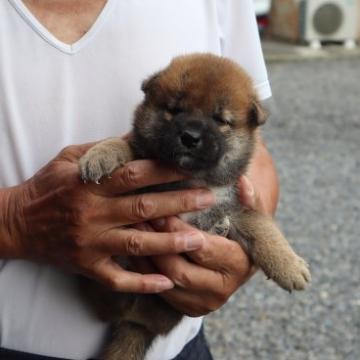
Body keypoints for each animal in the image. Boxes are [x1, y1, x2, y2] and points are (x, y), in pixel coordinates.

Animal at [80, 53, 310, 360]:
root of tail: (135, 320)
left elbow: (264, 231)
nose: (190, 136)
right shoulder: (141, 160)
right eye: (175, 110)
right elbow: (125, 144)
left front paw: (290, 267)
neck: (190, 178)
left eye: (220, 119)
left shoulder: (236, 206)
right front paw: (100, 155)